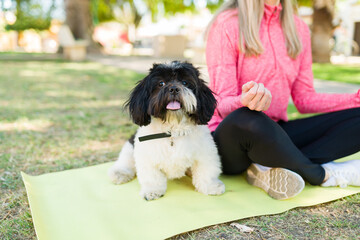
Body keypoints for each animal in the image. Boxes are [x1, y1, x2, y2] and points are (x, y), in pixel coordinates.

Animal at [107, 61, 225, 200]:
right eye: (161, 83)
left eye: (185, 82)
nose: (174, 88)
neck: (172, 131)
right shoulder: (147, 156)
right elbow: (152, 177)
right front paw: (152, 191)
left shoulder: (205, 153)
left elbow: (206, 171)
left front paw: (211, 187)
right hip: (131, 146)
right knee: (126, 161)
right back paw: (120, 173)